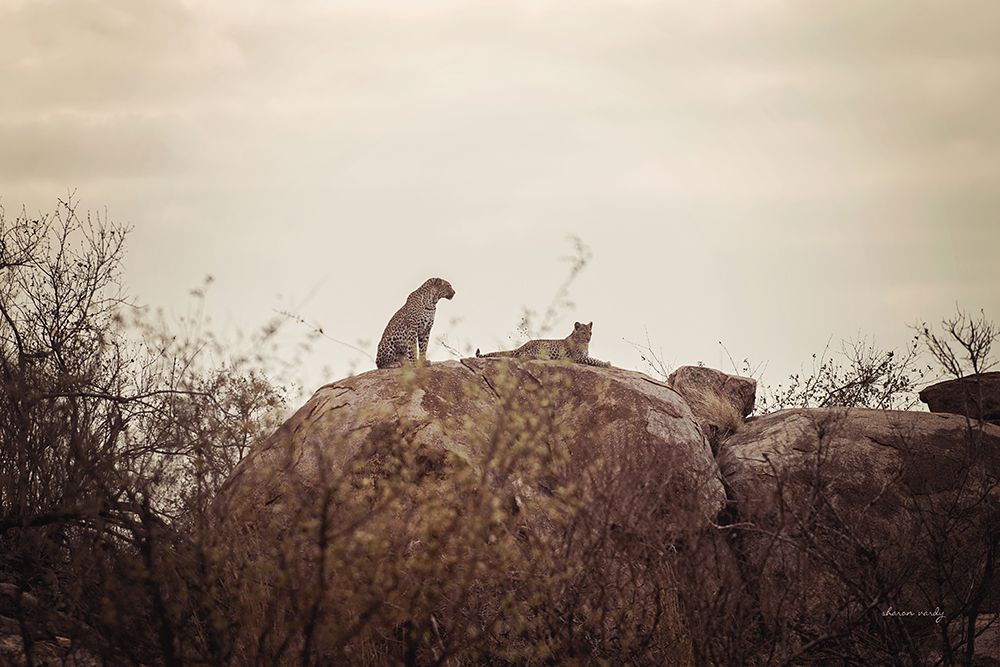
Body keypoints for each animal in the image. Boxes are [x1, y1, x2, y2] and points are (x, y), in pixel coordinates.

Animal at [474, 320, 608, 368]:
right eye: (583, 333)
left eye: (590, 333)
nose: (588, 339)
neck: (584, 344)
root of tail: (523, 345)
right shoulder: (578, 357)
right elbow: (594, 360)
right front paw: (607, 363)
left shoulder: (583, 356)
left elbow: (593, 358)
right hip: (543, 346)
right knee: (525, 356)